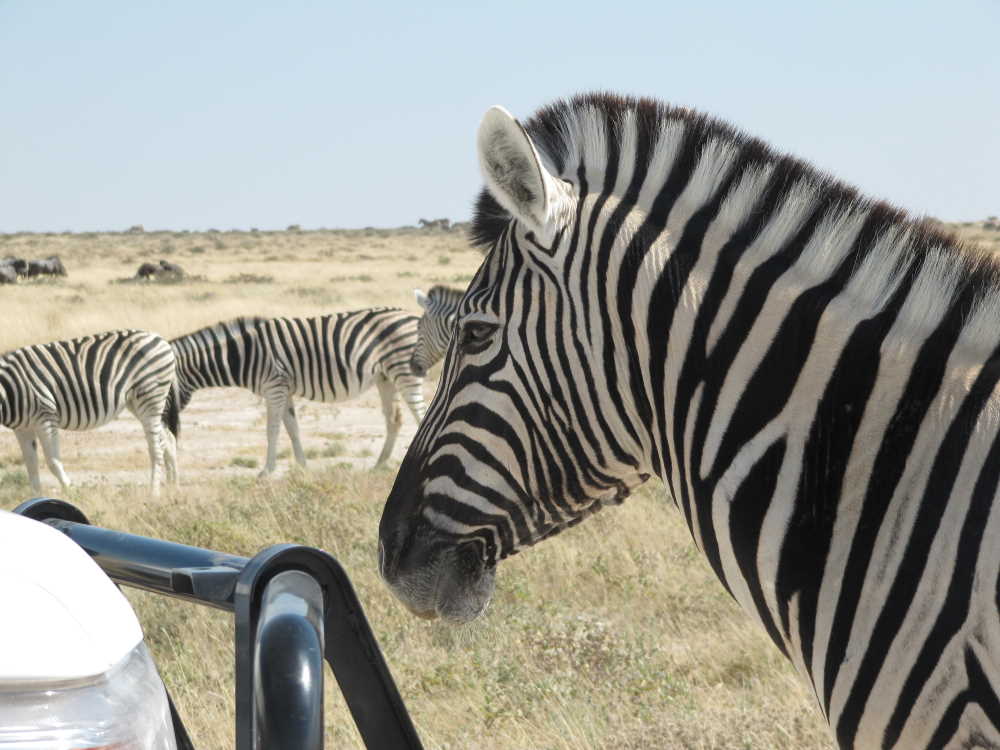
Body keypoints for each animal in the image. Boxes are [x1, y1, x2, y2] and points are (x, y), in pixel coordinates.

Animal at [0, 330, 178, 496]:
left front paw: (71, 492)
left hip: (151, 396)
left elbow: (53, 462)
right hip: (137, 402)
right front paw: (37, 497)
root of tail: (160, 338)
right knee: (168, 439)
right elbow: (31, 464)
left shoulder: (45, 417)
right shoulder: (23, 428)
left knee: (156, 449)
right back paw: (172, 486)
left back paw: (154, 493)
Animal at [172, 312, 422, 476]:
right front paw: (303, 466)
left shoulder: (274, 386)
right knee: (394, 419)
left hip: (404, 371)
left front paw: (267, 471)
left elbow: (272, 429)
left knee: (420, 415)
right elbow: (292, 428)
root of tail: (413, 316)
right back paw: (379, 465)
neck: (242, 354)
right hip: (385, 378)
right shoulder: (284, 389)